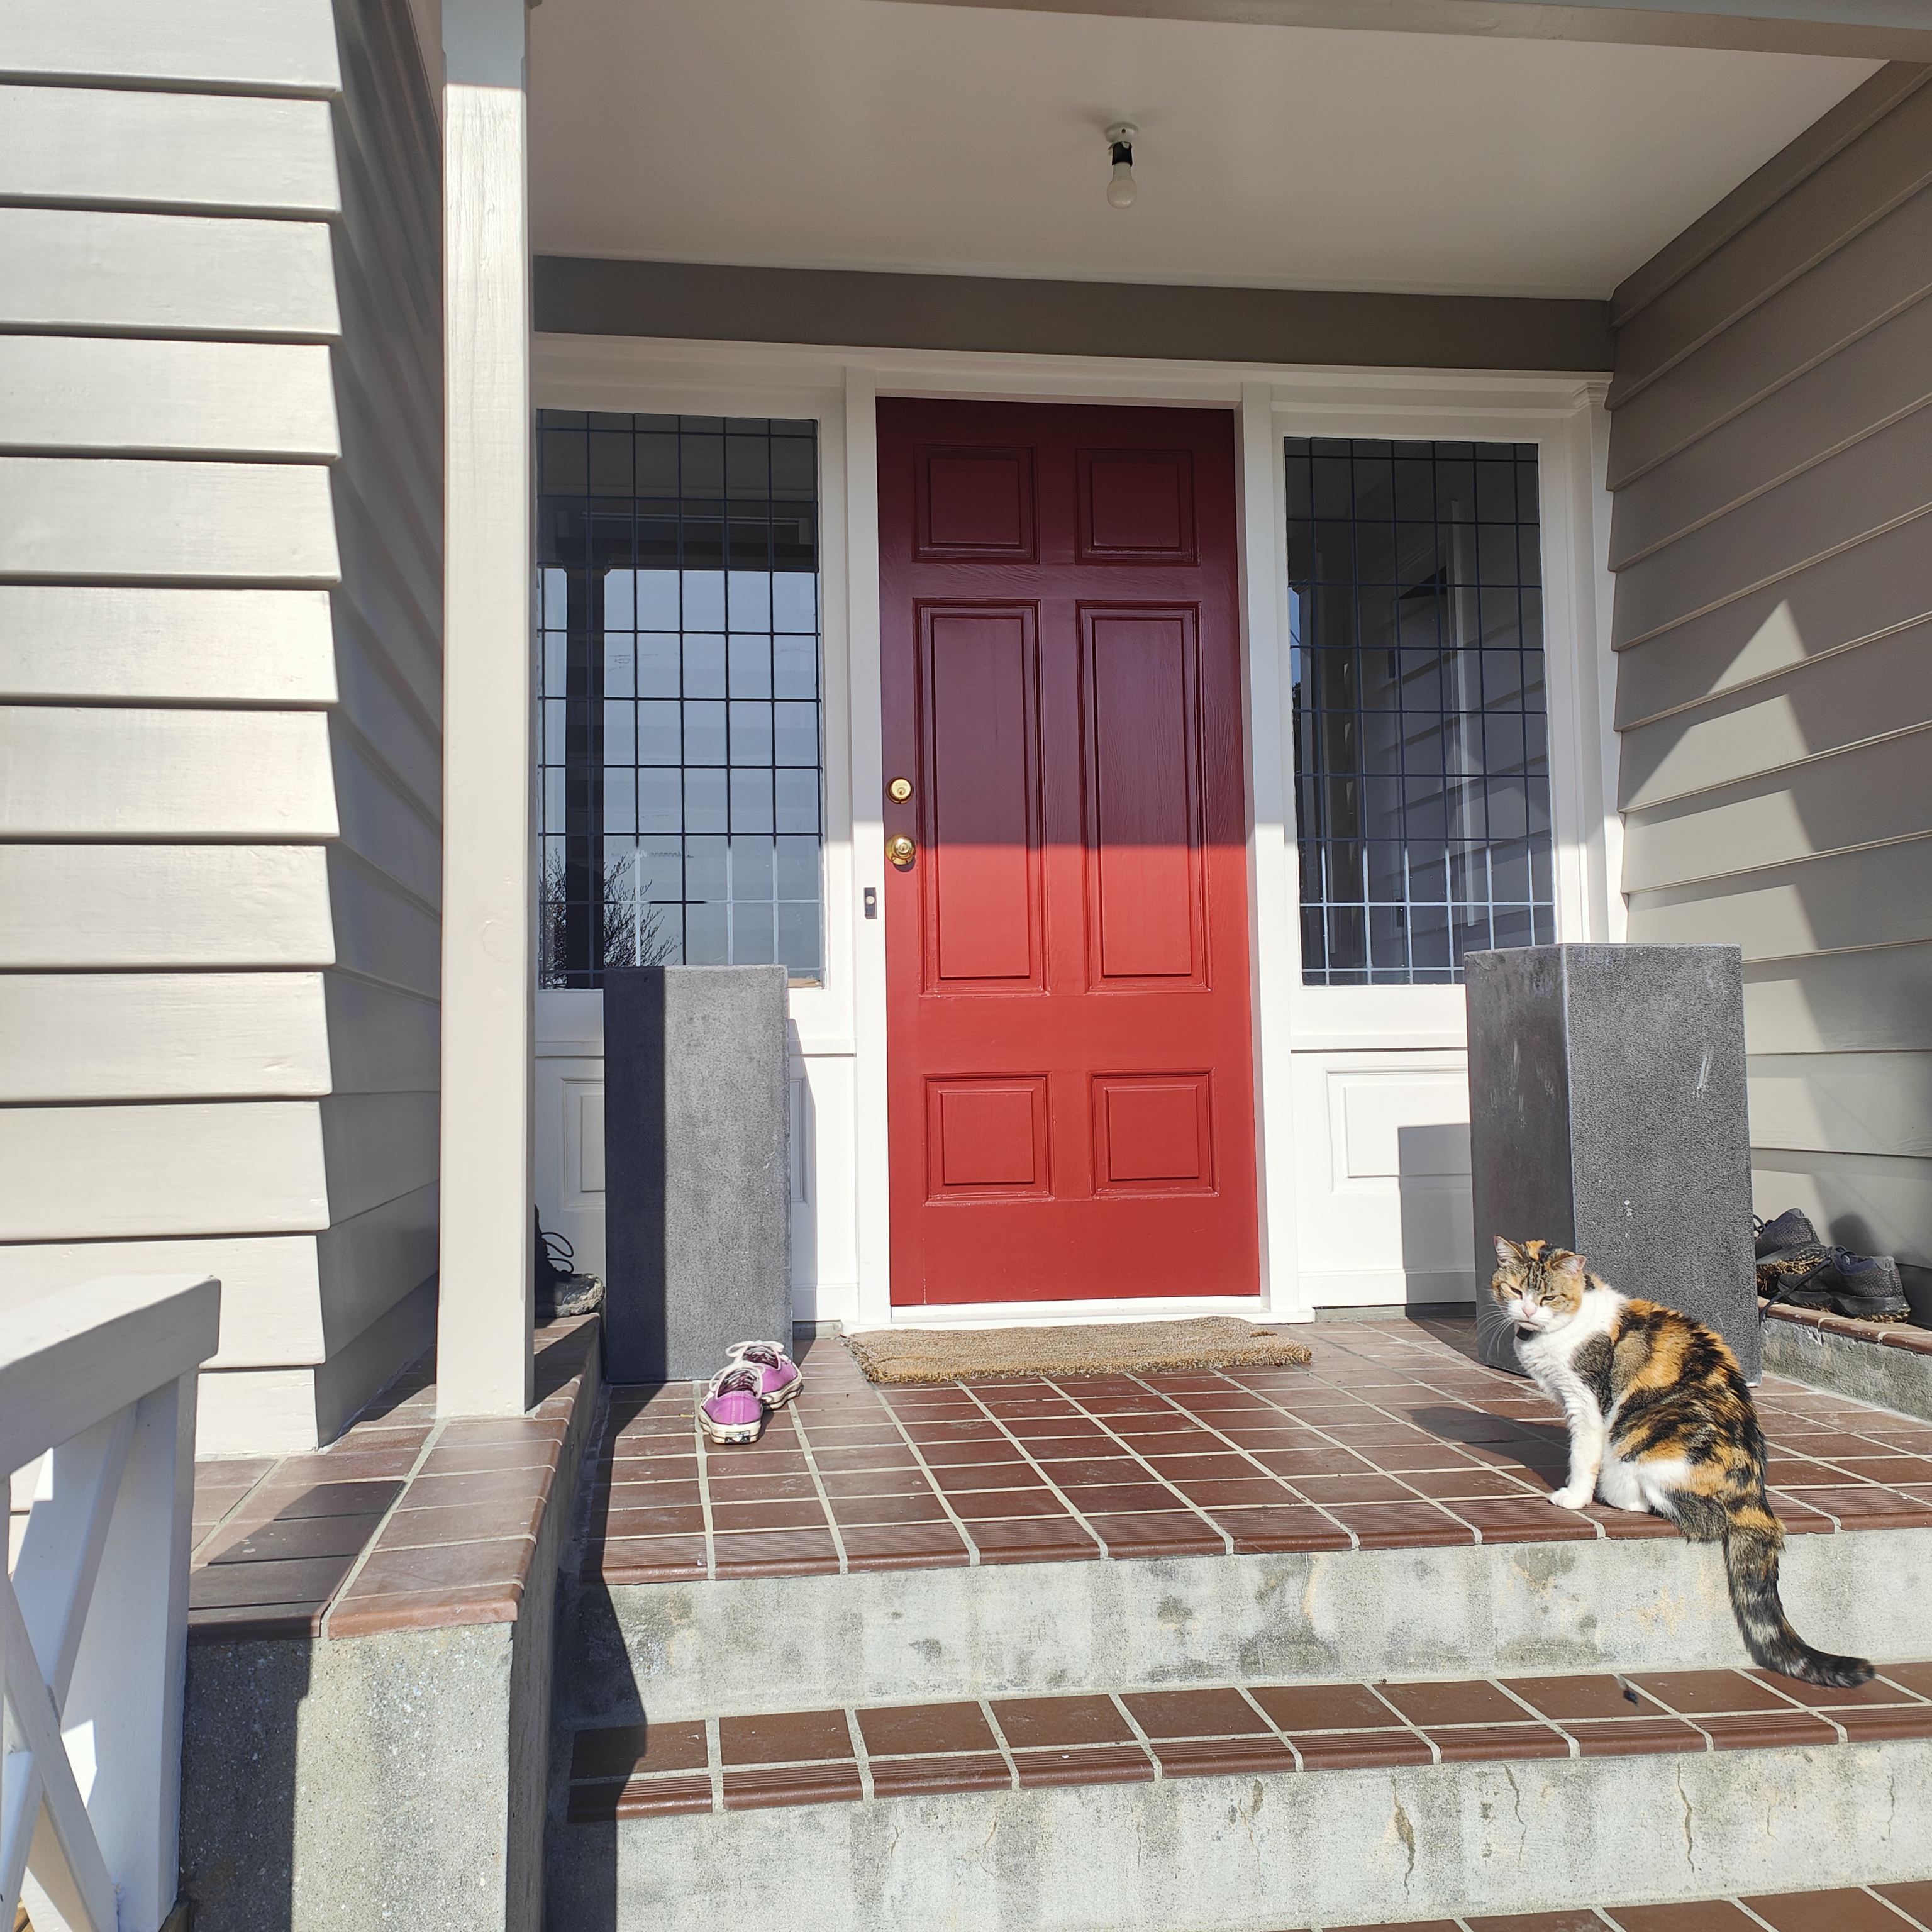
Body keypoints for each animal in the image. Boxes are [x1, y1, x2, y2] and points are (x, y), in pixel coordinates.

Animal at [1491, 1236, 1873, 1689]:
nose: (1528, 1311)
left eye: (1548, 1296)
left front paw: (1573, 1497)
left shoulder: (1585, 1402)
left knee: (1693, 1516)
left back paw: (1617, 1497)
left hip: (1643, 1448)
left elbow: (1583, 1454)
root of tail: (1754, 1493)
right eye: (1515, 1291)